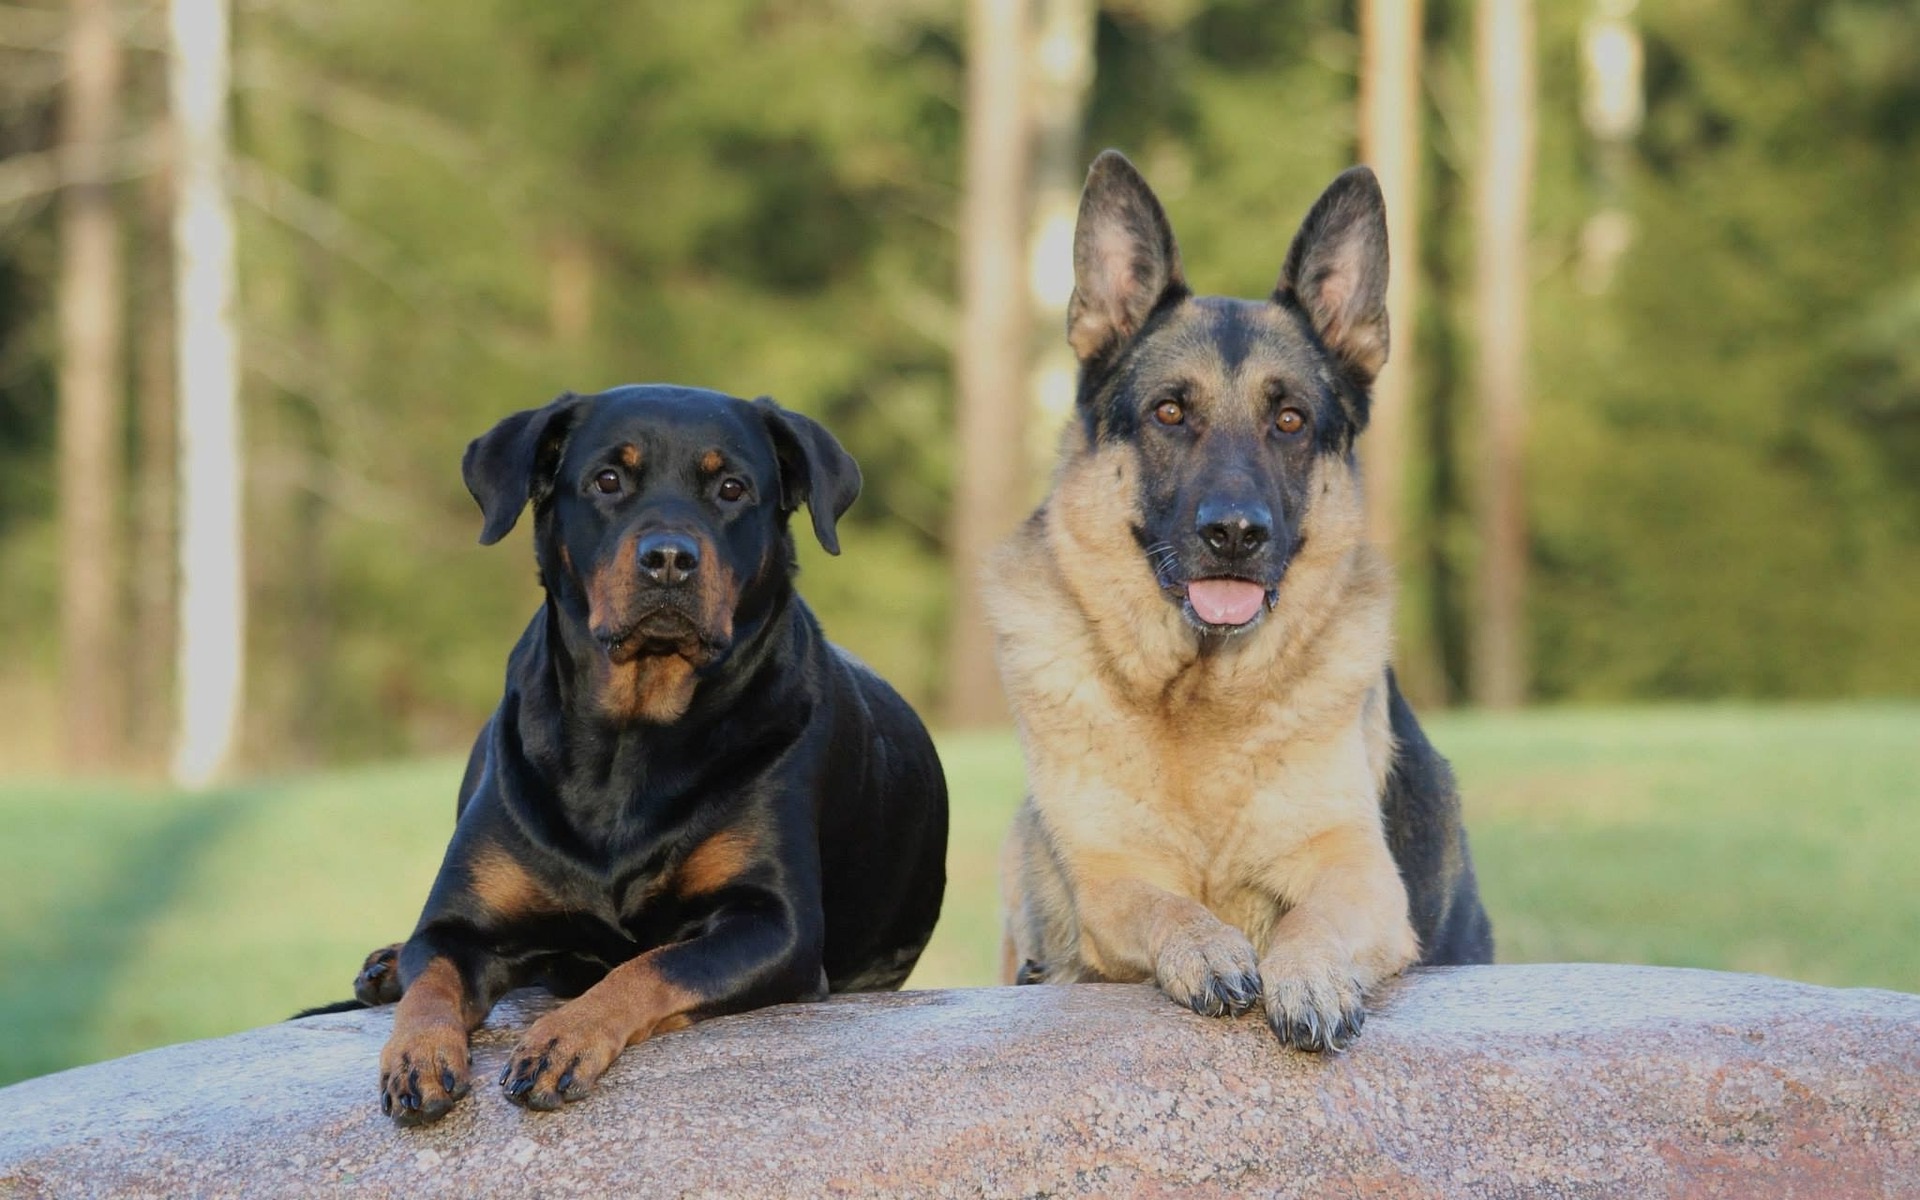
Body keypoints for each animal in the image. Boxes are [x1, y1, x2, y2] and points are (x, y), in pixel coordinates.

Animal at [351, 385, 944, 1121]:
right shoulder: (458, 926)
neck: (633, 736)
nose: (669, 558)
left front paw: (565, 1036)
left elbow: (651, 964)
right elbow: (431, 975)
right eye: (608, 480)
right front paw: (418, 1054)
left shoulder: (775, 926)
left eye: (731, 488)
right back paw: (386, 964)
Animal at [990, 149, 1497, 1044]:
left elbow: (1313, 919)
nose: (1234, 533)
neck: (1196, 706)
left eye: (1290, 420)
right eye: (1169, 412)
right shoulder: (1109, 879)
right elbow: (1165, 905)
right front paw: (1207, 947)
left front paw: (1309, 975)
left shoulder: (1357, 872)